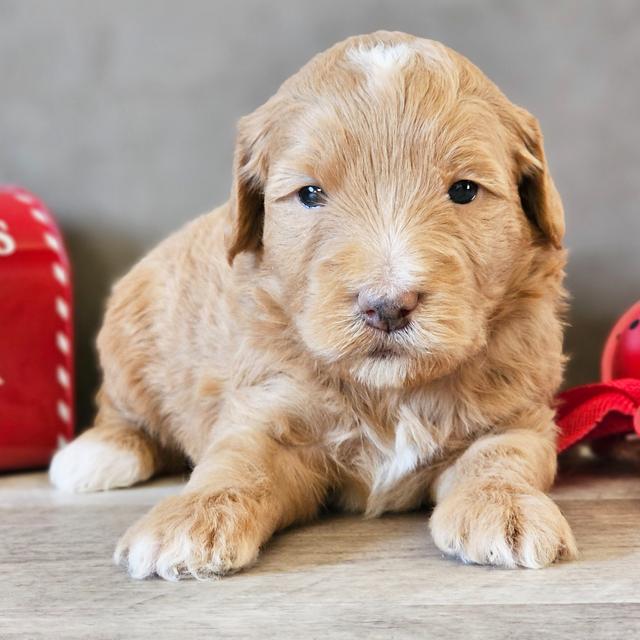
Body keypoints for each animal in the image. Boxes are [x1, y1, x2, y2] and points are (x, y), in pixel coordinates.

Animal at [50, 31, 576, 580]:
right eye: (309, 194)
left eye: (465, 190)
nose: (387, 306)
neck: (388, 391)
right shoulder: (267, 406)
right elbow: (236, 461)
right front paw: (189, 518)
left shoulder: (519, 411)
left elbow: (500, 455)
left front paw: (505, 506)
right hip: (130, 334)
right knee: (121, 410)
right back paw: (96, 455)